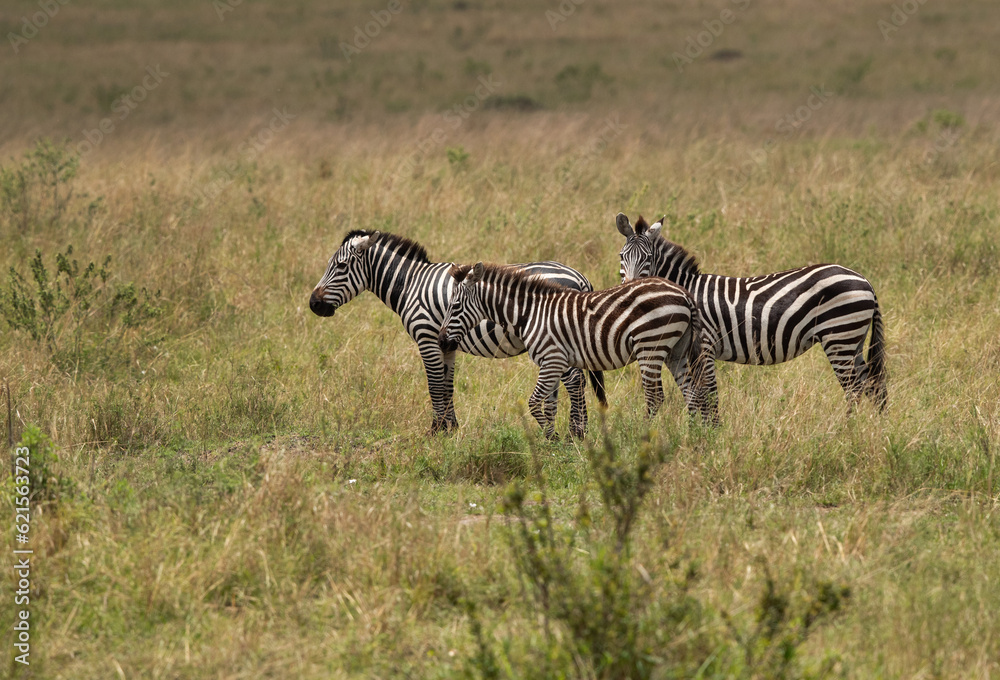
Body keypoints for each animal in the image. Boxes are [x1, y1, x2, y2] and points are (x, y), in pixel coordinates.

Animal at [309, 230, 607, 435]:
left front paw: (435, 430)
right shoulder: (446, 343)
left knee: (575, 381)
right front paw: (450, 428)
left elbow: (434, 384)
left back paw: (576, 434)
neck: (410, 283)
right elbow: (447, 384)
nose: (313, 305)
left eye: (340, 267)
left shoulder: (427, 337)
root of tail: (579, 277)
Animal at [437, 262, 718, 438]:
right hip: (676, 351)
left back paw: (644, 435)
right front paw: (554, 438)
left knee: (655, 397)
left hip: (650, 346)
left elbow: (533, 402)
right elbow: (548, 403)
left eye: (455, 306)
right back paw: (694, 436)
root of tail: (684, 293)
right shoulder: (552, 363)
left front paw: (554, 437)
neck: (530, 313)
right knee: (692, 393)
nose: (441, 342)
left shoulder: (552, 359)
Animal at [615, 212, 887, 411]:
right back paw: (874, 430)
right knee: (873, 386)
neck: (686, 290)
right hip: (852, 340)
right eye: (621, 256)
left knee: (854, 390)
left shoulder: (705, 346)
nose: (630, 288)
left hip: (839, 337)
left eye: (648, 258)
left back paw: (848, 430)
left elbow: (708, 395)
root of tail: (865, 281)